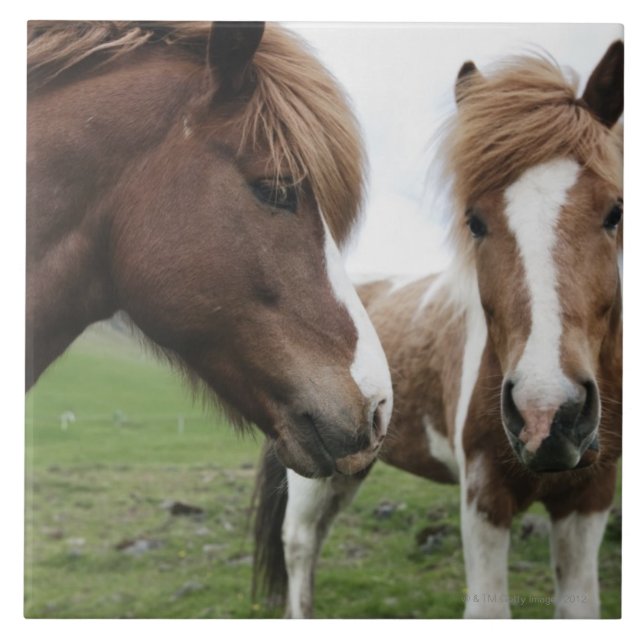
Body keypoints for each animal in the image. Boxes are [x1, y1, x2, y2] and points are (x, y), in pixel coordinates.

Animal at [253, 41, 623, 618]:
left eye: (616, 212)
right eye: (475, 222)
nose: (547, 416)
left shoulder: (589, 498)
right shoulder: (484, 496)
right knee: (299, 542)